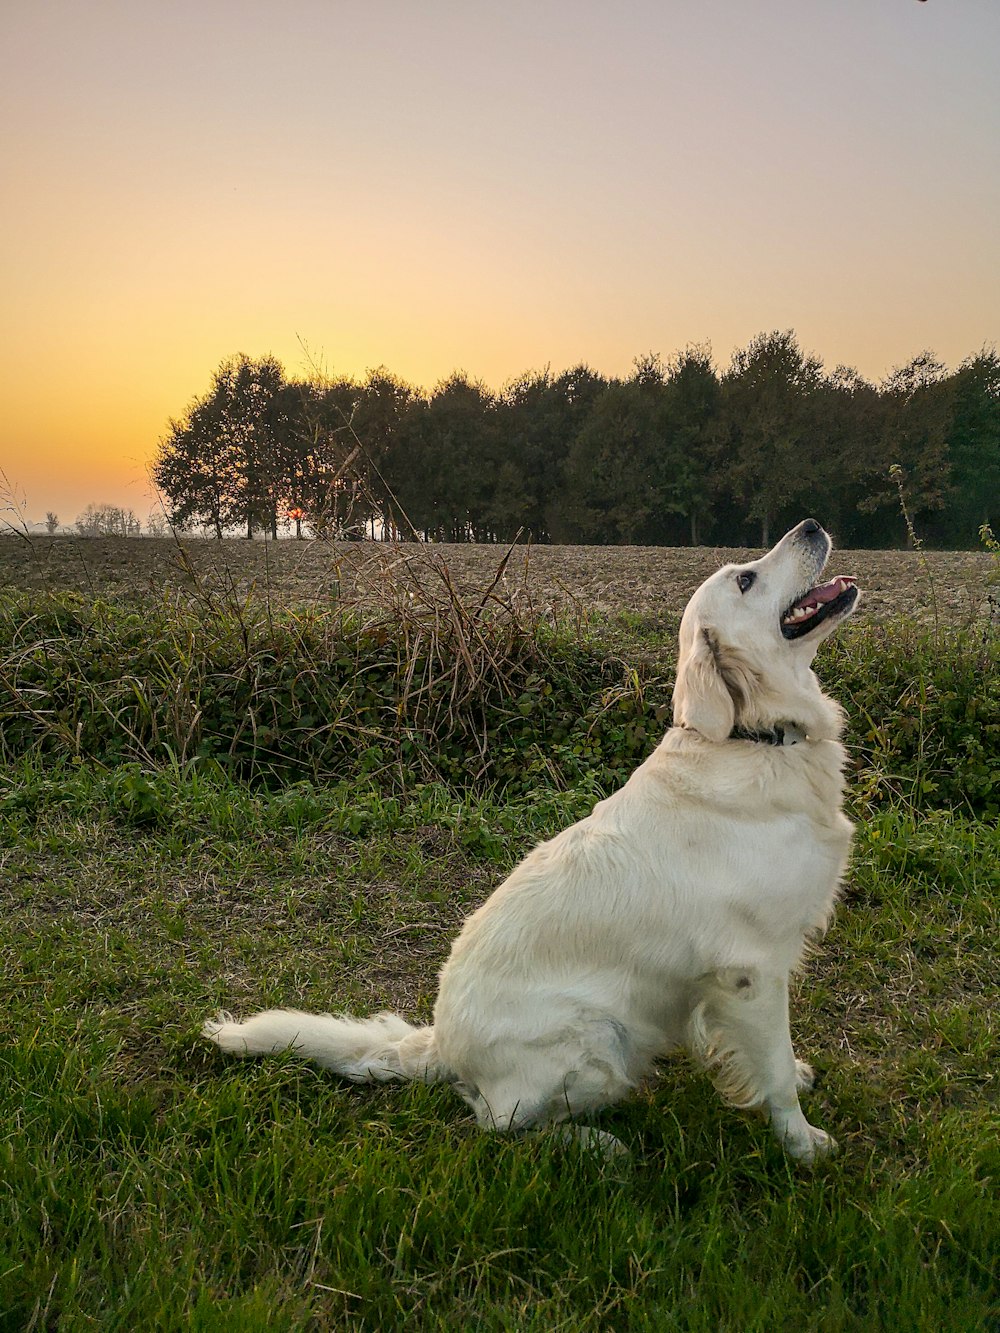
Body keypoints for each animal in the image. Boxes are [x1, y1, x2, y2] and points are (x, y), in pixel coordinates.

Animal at [204, 519, 864, 1167]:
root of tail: (443, 1045)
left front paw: (798, 1085)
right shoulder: (750, 970)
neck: (755, 739)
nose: (812, 524)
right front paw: (803, 1145)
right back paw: (597, 1146)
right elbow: (771, 1070)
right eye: (746, 579)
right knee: (498, 1124)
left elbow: (777, 1059)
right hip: (598, 1038)